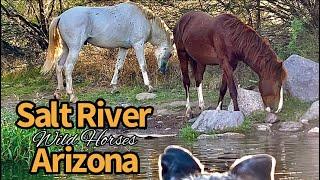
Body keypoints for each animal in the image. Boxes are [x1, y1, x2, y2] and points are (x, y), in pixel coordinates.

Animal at [42, 1, 175, 102]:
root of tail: (61, 16)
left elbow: (118, 67)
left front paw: (114, 87)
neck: (145, 20)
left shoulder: (124, 48)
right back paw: (72, 95)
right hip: (74, 48)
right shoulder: (138, 45)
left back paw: (58, 92)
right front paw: (149, 86)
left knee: (59, 66)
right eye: (170, 54)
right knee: (68, 67)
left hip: (66, 48)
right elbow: (143, 66)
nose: (163, 71)